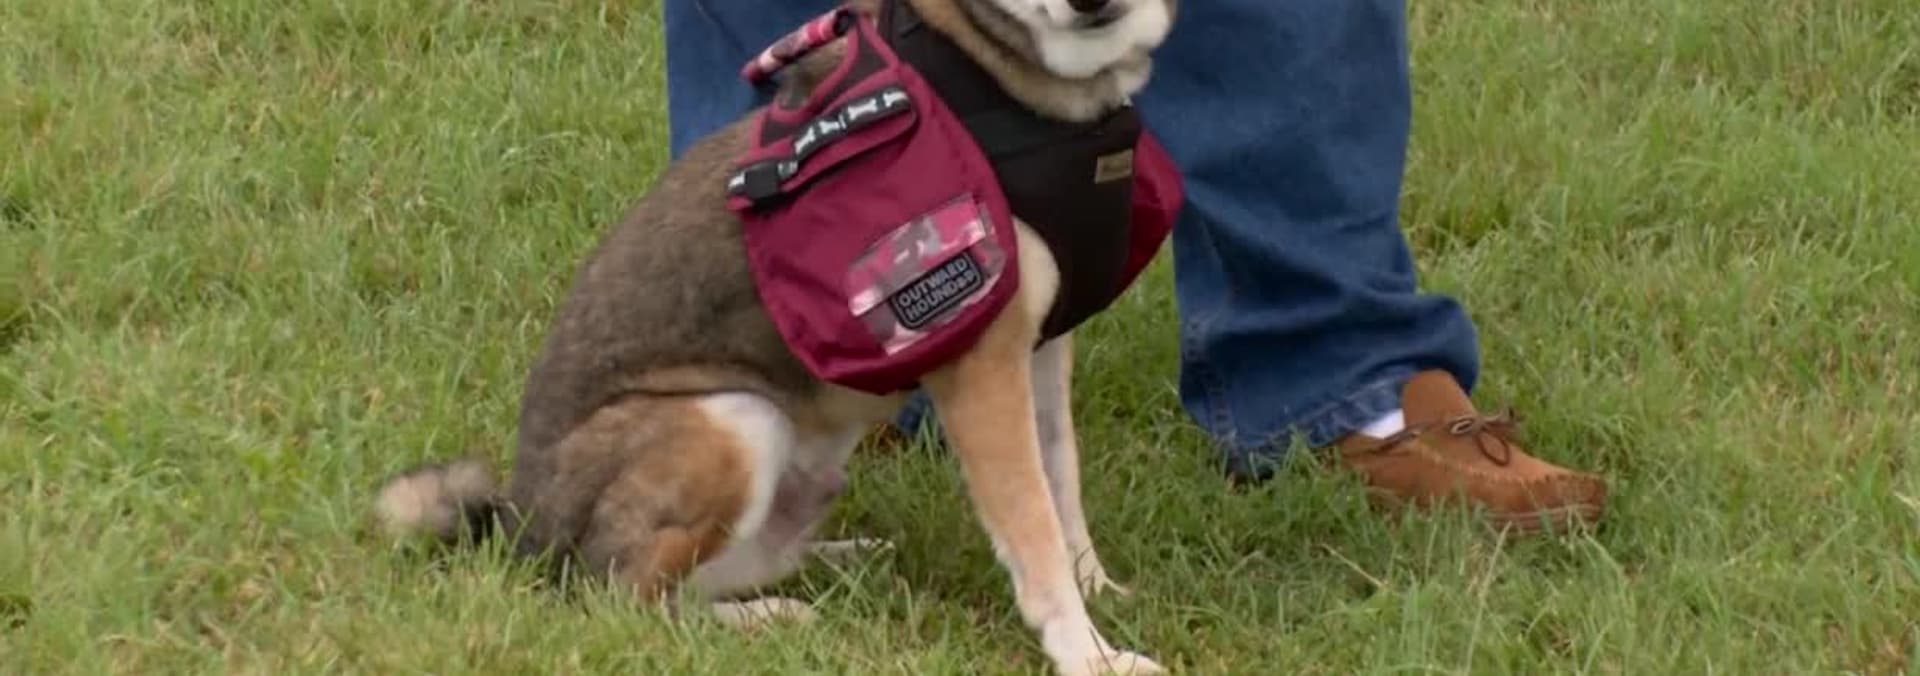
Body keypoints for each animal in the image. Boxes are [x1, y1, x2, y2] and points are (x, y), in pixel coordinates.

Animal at [372, 0, 1178, 673]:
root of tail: (521, 530)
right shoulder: (979, 363)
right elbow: (1031, 529)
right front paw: (1089, 655)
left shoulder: (1042, 345)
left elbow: (1061, 481)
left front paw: (1097, 585)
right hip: (734, 421)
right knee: (626, 598)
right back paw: (767, 617)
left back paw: (838, 563)